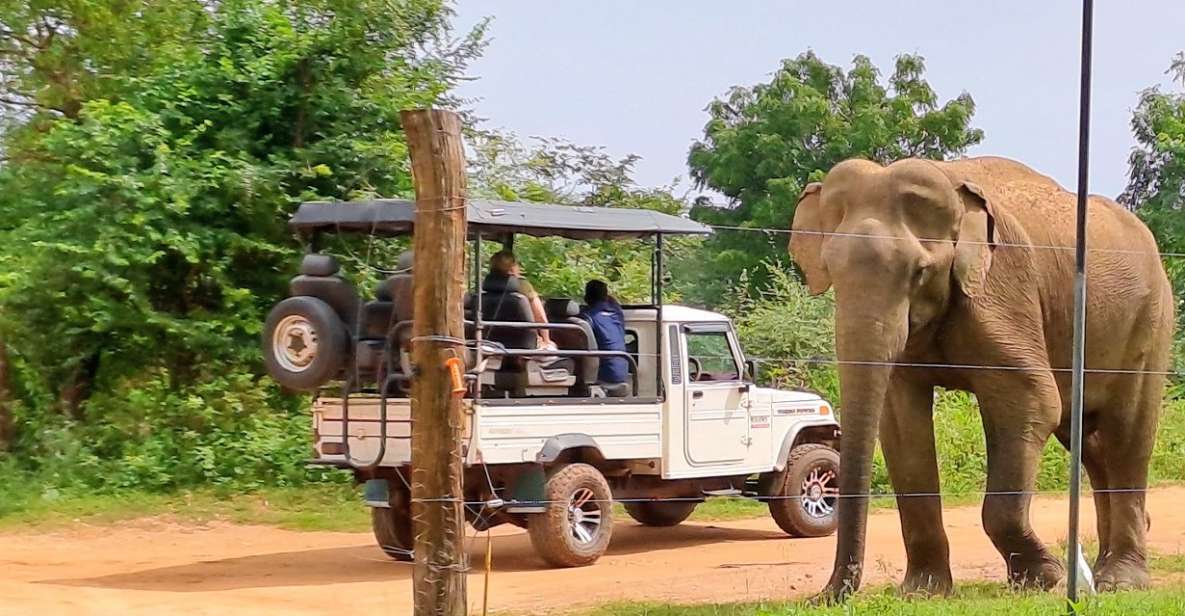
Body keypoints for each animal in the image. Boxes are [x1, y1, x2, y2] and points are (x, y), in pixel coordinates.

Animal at [791, 155, 1170, 601]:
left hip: (1150, 320)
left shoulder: (1002, 289)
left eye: (919, 272)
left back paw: (1119, 581)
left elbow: (1033, 400)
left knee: (1127, 435)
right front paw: (922, 592)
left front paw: (1045, 579)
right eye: (830, 269)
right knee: (1090, 443)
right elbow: (901, 424)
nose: (822, 596)